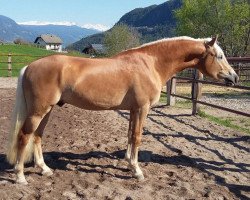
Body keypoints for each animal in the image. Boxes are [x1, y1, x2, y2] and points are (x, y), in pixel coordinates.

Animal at [6, 35, 239, 184]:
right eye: (219, 56)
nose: (234, 77)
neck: (151, 64)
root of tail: (30, 66)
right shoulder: (142, 108)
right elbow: (137, 137)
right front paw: (137, 171)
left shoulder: (134, 110)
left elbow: (129, 136)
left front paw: (129, 163)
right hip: (38, 111)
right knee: (24, 136)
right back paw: (20, 177)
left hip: (47, 111)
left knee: (37, 137)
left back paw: (44, 169)